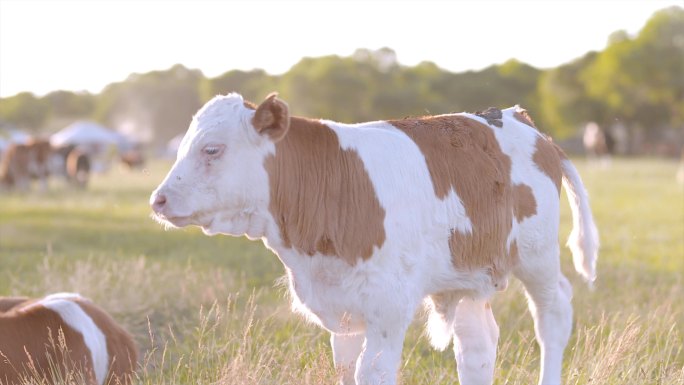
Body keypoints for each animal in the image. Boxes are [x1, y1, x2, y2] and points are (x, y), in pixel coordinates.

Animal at [151, 93, 600, 384]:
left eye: (212, 149)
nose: (158, 199)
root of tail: (519, 119)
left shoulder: (388, 305)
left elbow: (373, 372)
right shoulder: (342, 310)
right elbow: (346, 370)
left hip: (537, 255)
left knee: (553, 315)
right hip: (470, 271)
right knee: (477, 346)